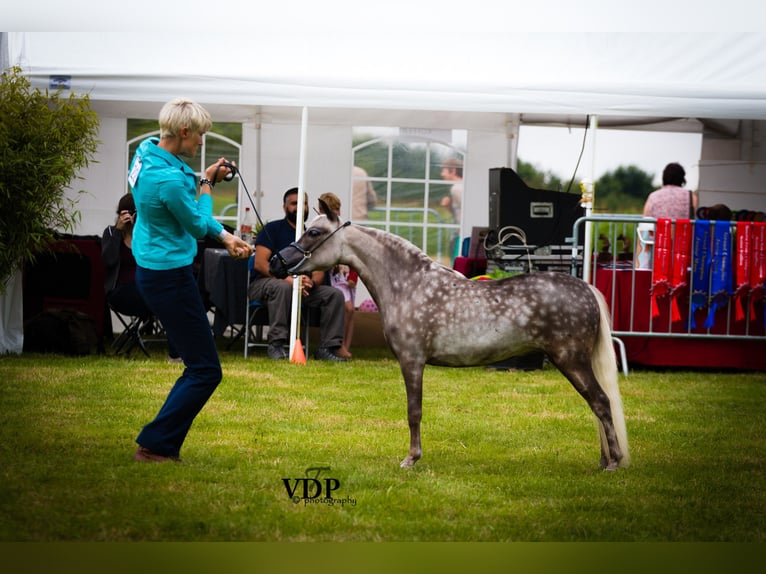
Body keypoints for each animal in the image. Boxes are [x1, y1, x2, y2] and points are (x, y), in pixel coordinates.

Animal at [270, 209, 632, 470]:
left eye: (314, 232)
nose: (276, 262)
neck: (409, 284)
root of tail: (585, 287)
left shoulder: (412, 361)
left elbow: (413, 411)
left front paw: (411, 459)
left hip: (571, 360)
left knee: (601, 402)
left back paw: (613, 462)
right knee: (597, 405)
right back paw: (604, 460)